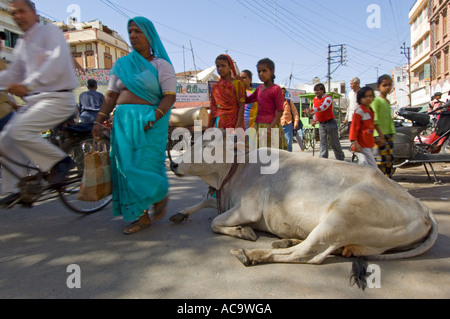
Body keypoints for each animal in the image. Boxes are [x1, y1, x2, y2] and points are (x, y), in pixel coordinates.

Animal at [170, 131, 436, 266]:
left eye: (209, 146)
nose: (173, 164)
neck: (238, 168)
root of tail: (424, 210)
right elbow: (206, 202)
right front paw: (180, 213)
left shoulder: (248, 208)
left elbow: (216, 223)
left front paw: (243, 231)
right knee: (322, 250)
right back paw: (286, 240)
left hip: (341, 218)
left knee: (308, 254)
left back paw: (251, 254)